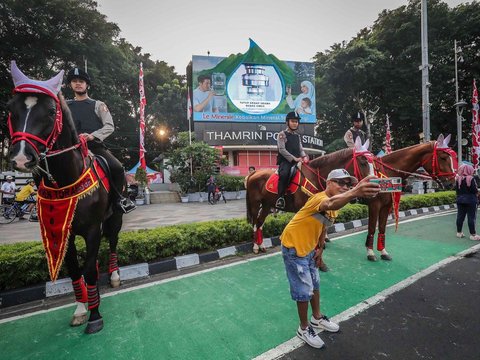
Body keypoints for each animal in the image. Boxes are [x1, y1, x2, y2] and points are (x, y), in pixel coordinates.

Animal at [7, 60, 124, 334]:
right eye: (10, 109)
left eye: (51, 111)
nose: (21, 158)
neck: (66, 178)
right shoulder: (62, 231)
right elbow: (74, 270)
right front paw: (82, 308)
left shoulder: (92, 229)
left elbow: (89, 270)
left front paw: (95, 316)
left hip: (115, 216)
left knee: (113, 241)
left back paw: (114, 276)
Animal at [246, 138, 374, 253]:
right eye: (363, 162)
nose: (373, 182)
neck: (315, 177)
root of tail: (254, 173)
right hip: (255, 204)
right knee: (255, 223)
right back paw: (256, 247)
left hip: (267, 204)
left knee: (260, 222)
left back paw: (261, 245)